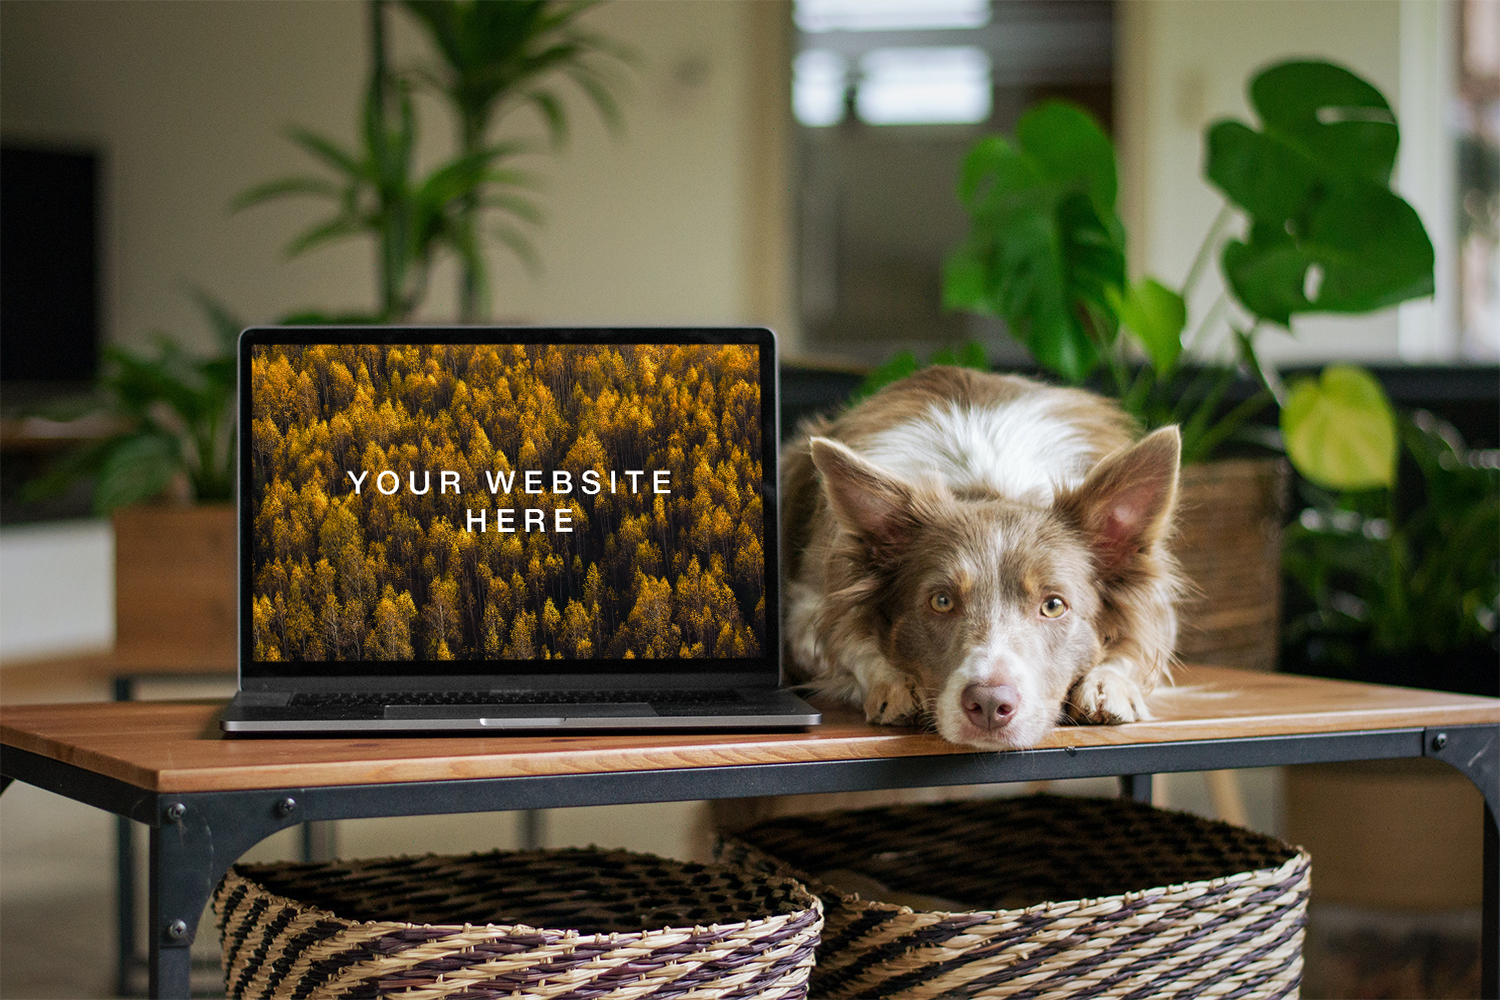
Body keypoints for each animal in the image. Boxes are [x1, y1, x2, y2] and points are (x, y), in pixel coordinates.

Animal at [786, 367, 1182, 749]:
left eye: (1054, 605)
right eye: (941, 601)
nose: (990, 704)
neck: (990, 489)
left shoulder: (1158, 610)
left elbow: (1138, 648)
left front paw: (1108, 685)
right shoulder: (809, 610)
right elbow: (850, 644)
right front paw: (895, 682)